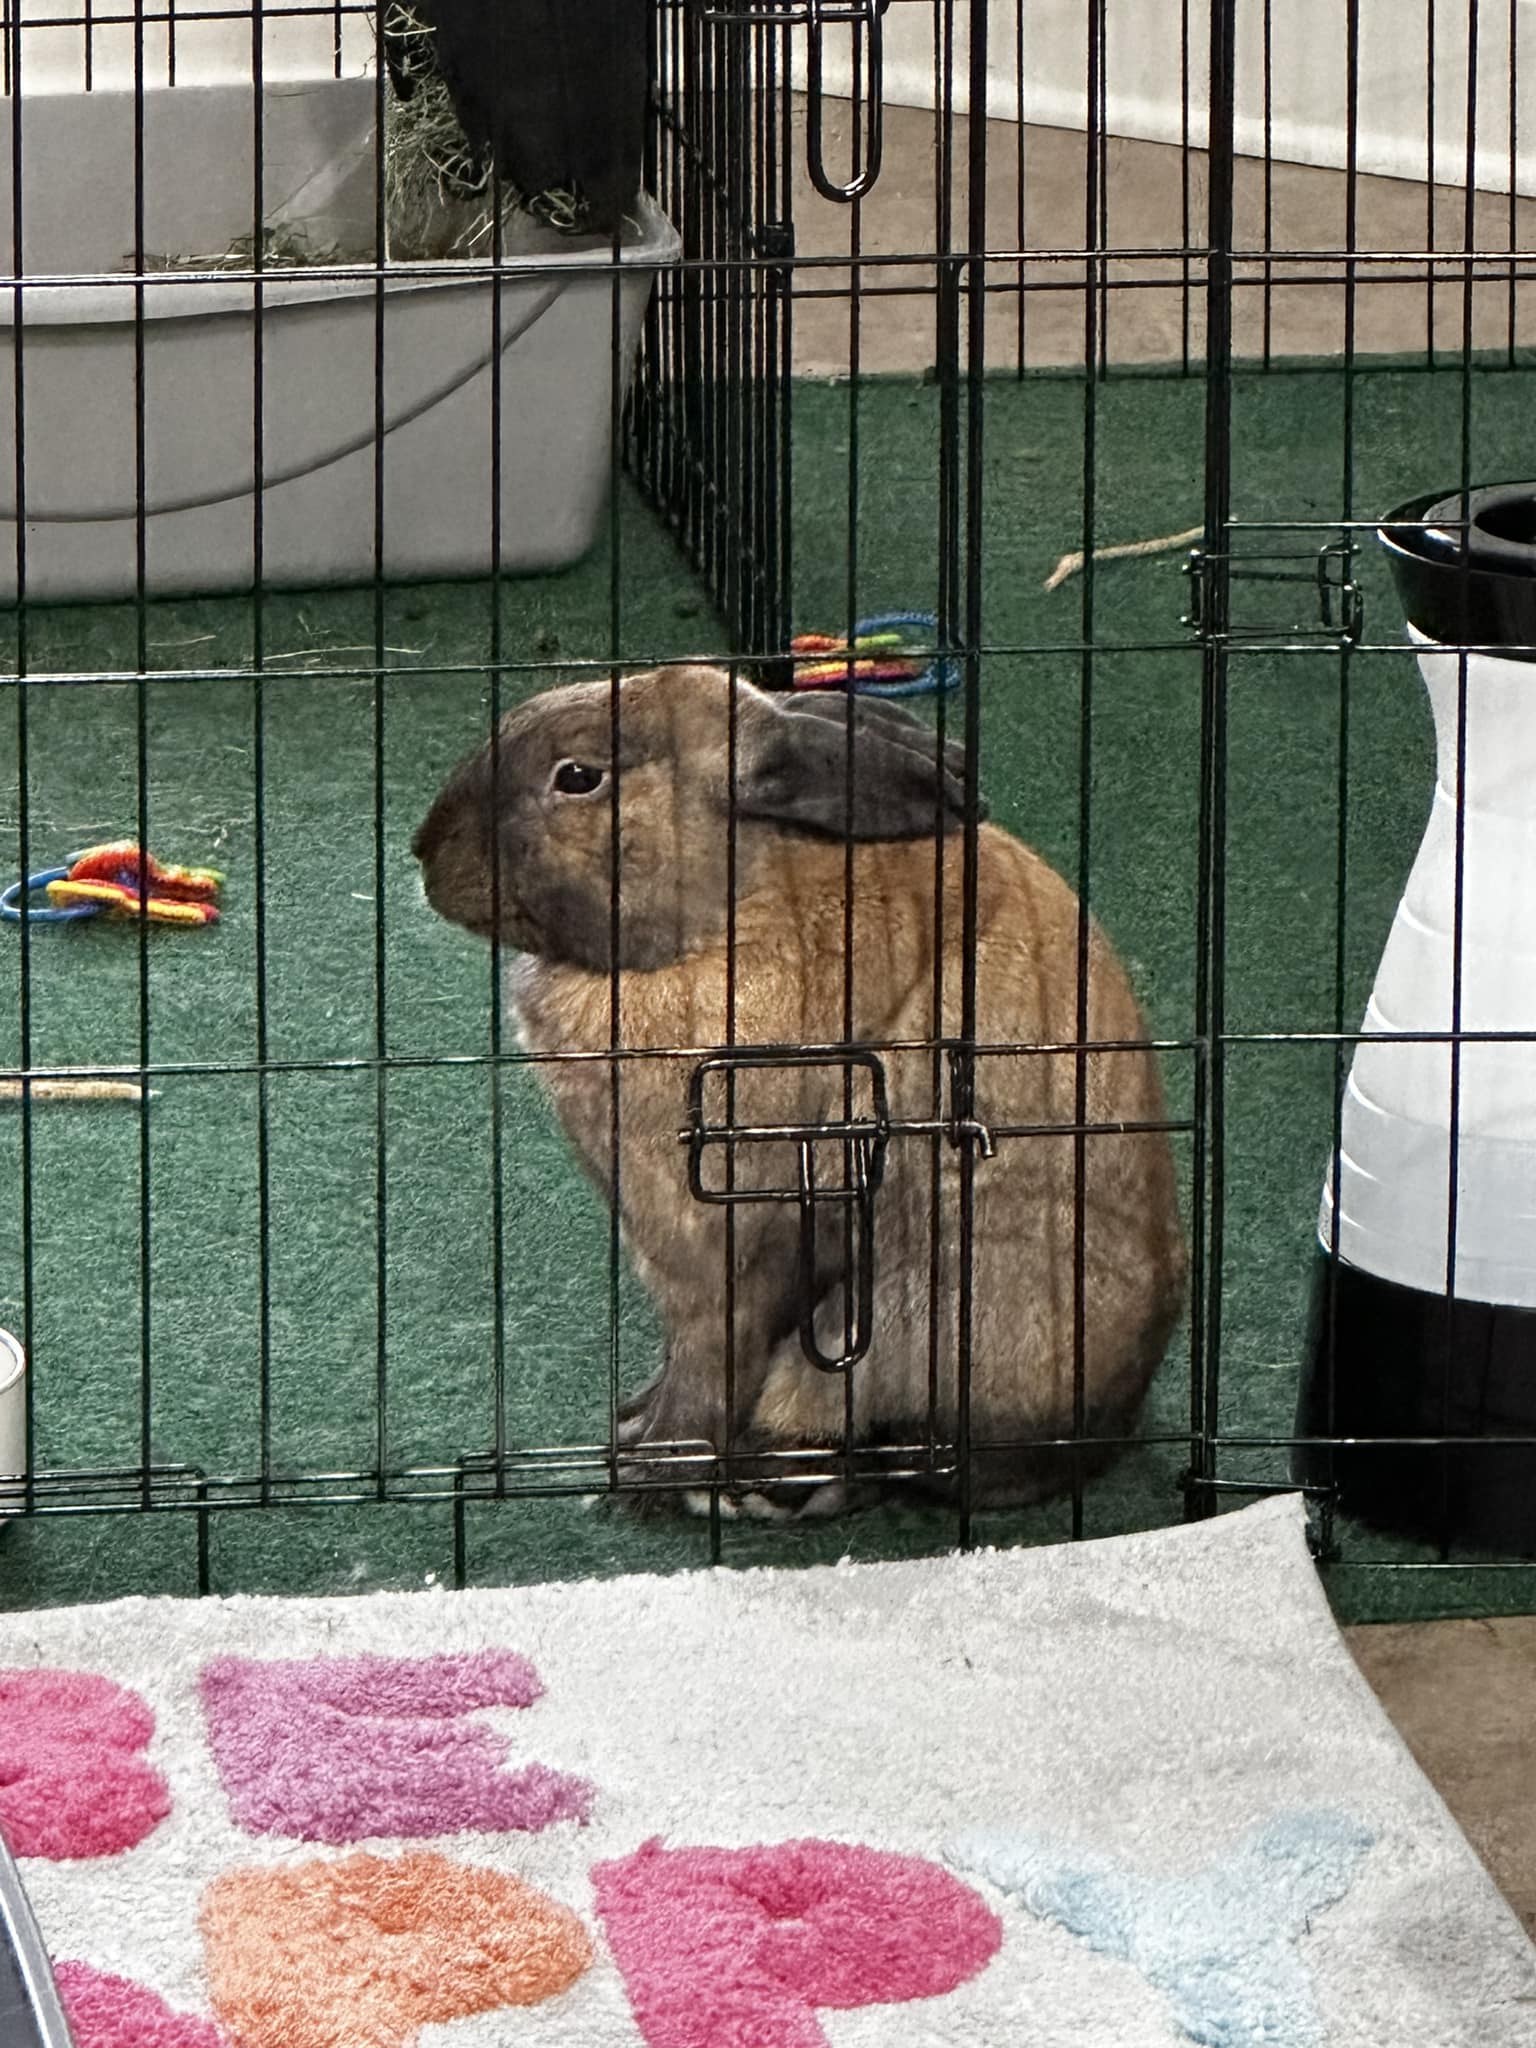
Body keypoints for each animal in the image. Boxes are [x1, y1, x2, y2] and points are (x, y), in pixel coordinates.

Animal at [413, 663, 1186, 1517]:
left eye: (578, 777)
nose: (425, 852)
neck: (727, 910)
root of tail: (1103, 1429)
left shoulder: (717, 1250)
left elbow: (709, 1366)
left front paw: (641, 1472)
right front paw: (631, 1424)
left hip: (891, 1320)